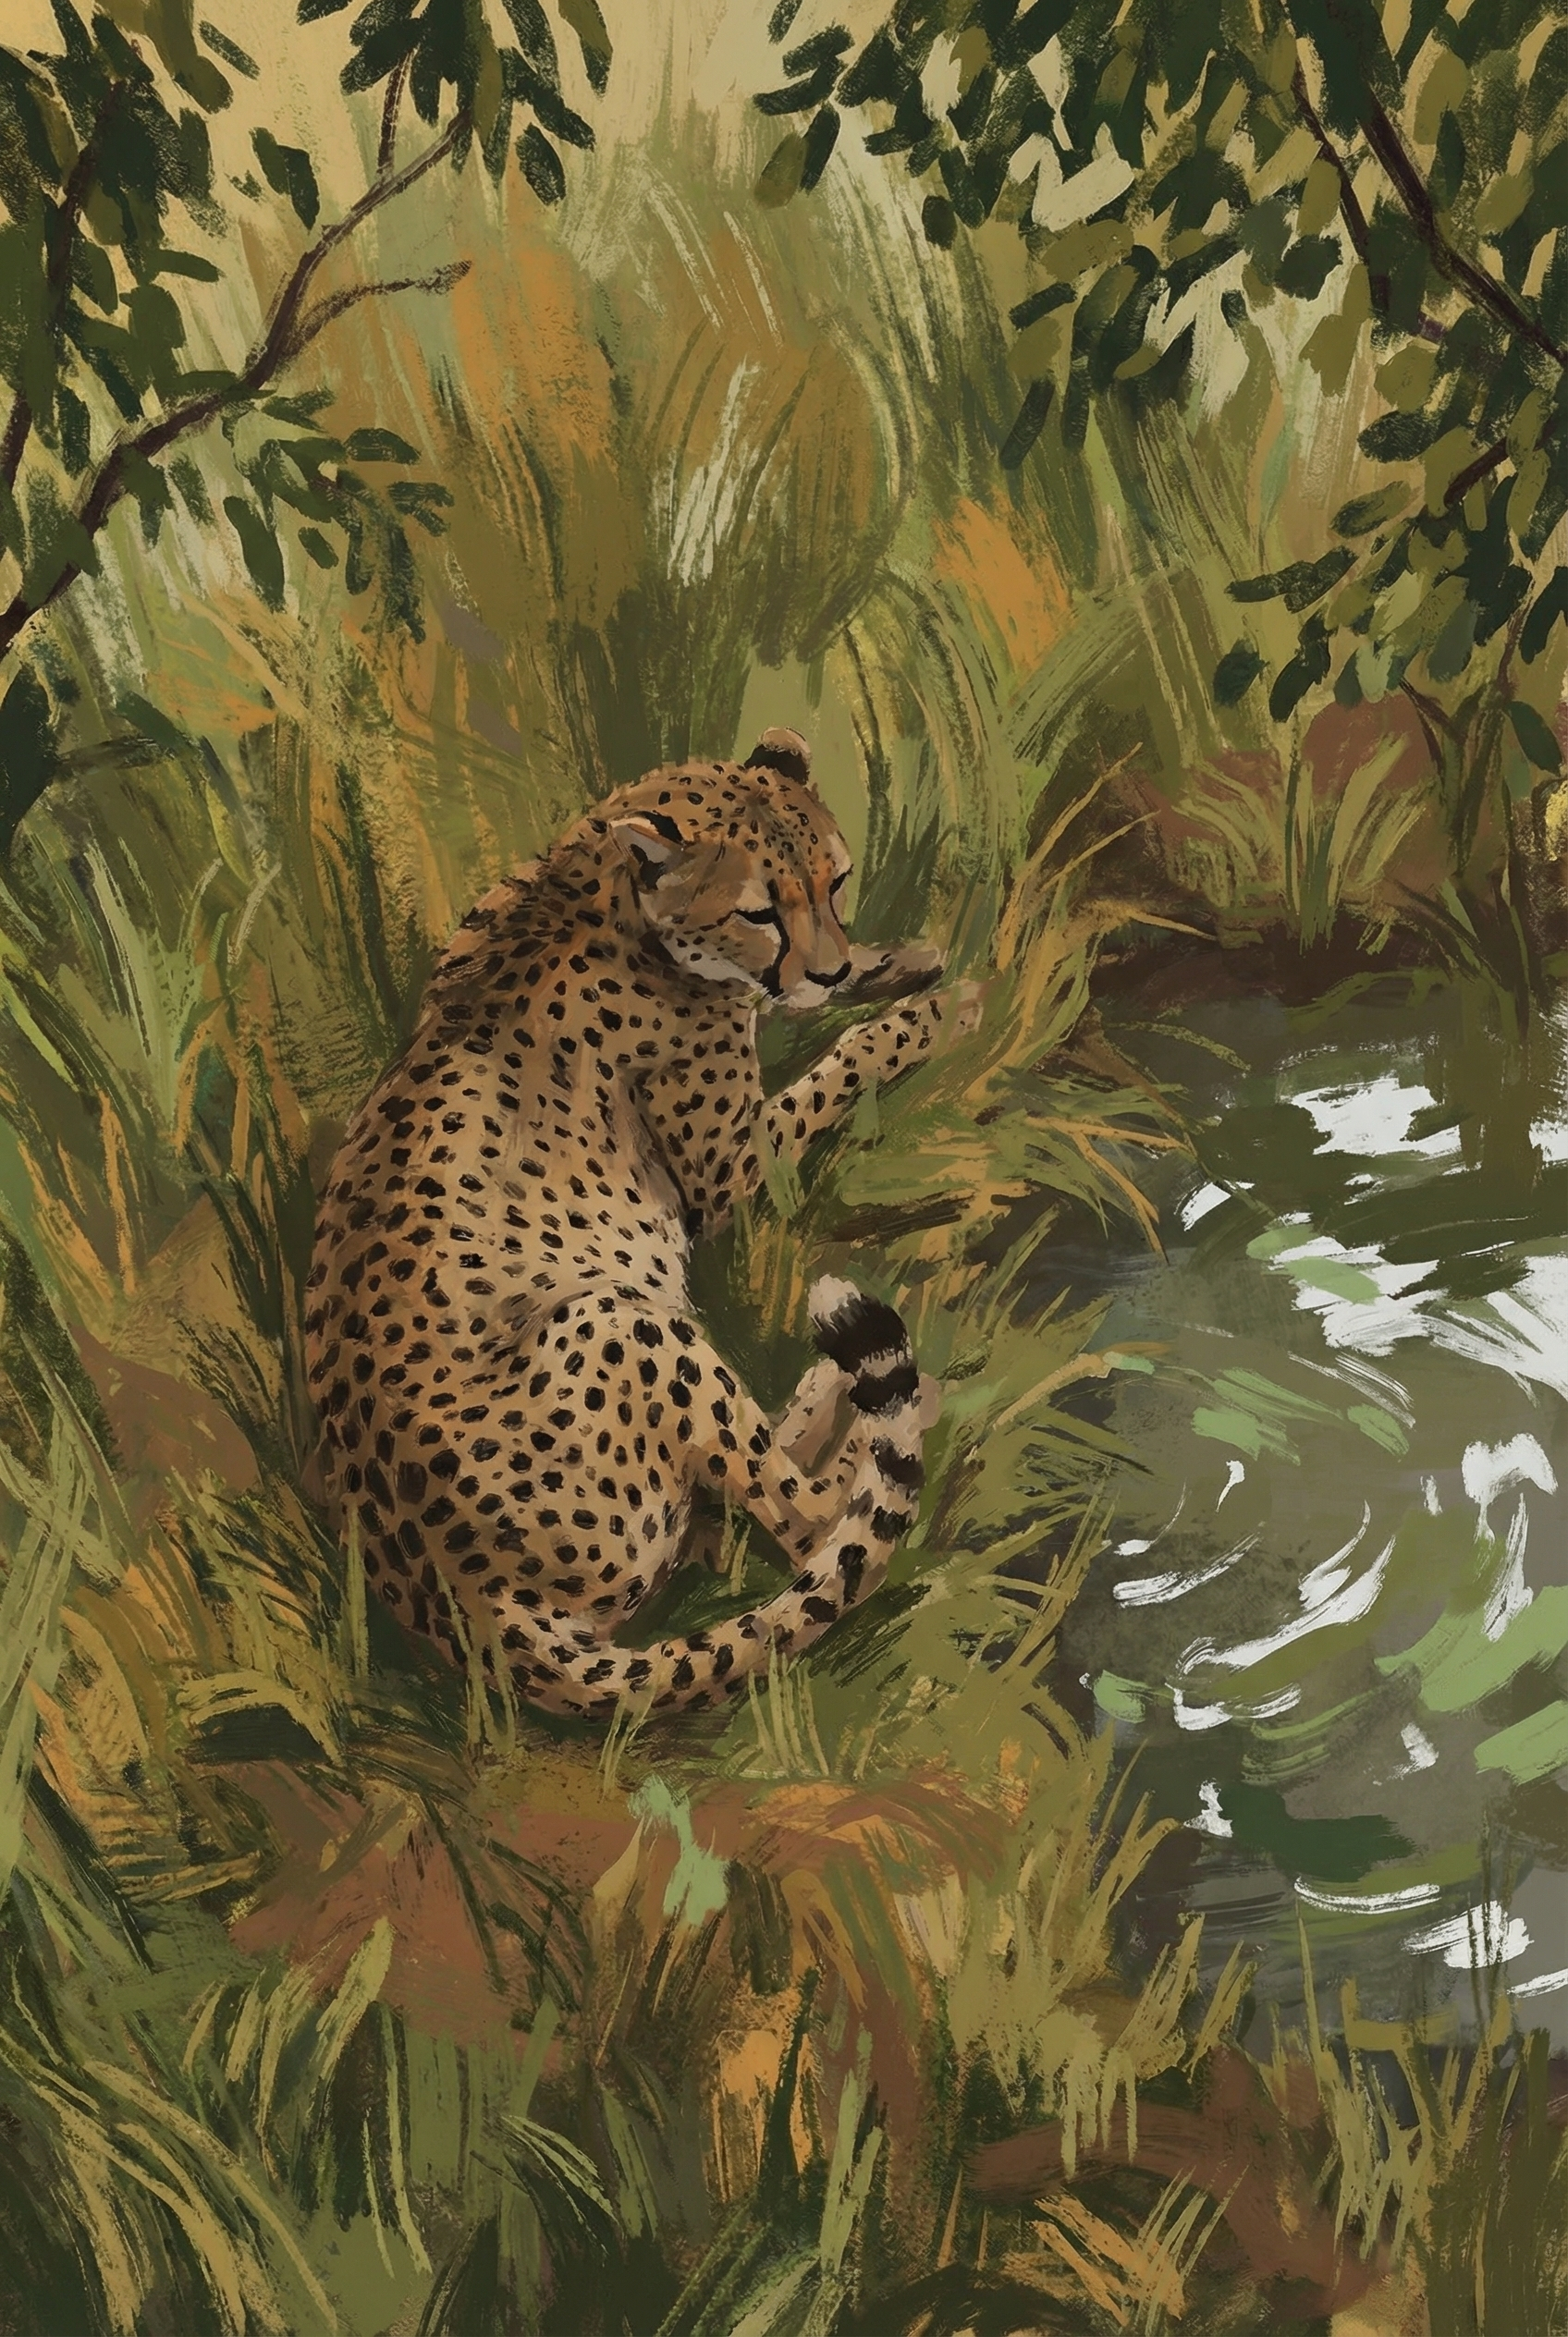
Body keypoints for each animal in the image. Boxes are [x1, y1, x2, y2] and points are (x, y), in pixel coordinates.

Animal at [303, 727, 966, 1719]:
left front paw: (901, 963)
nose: (827, 966)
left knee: (739, 1512)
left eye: (836, 881)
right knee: (806, 1523)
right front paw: (928, 1011)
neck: (602, 884)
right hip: (615, 1316)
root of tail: (471, 1612)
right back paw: (878, 1410)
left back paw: (832, 1388)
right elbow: (836, 1067)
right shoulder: (735, 1172)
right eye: (760, 911)